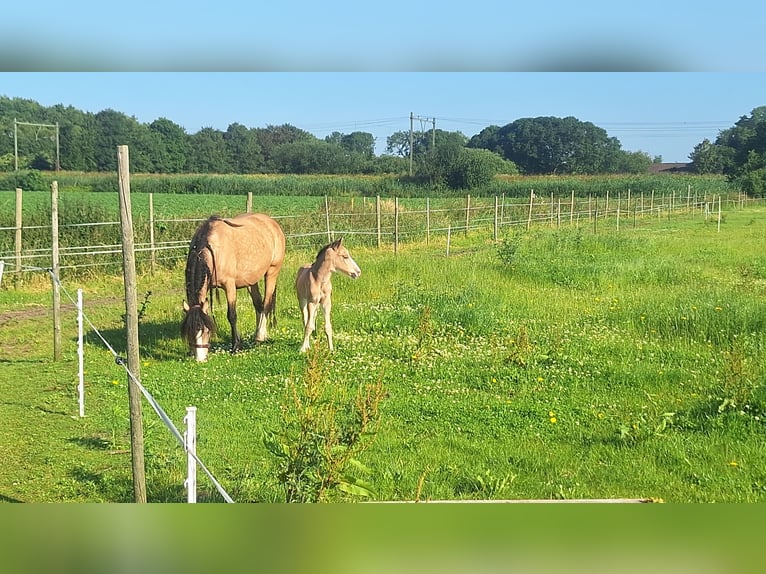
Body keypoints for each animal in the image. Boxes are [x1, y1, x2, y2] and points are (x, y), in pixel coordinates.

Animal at [182, 214, 286, 362]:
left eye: (206, 330)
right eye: (189, 332)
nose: (200, 359)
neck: (212, 248)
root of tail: (272, 223)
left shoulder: (229, 285)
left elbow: (232, 315)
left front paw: (236, 346)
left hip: (272, 272)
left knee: (266, 304)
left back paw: (260, 336)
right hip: (251, 280)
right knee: (259, 305)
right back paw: (258, 336)